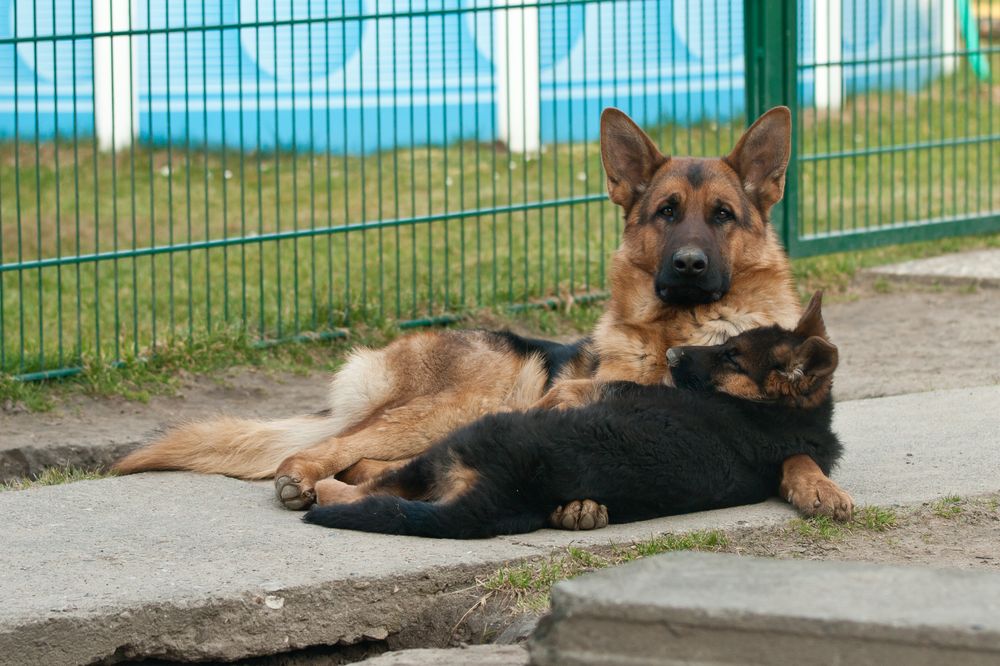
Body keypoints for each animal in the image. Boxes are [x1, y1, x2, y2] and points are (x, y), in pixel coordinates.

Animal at [304, 294, 844, 536]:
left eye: (733, 357)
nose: (672, 358)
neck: (777, 418)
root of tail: (505, 494)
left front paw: (817, 487)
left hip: (475, 424)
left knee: (372, 481)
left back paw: (320, 490)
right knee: (358, 456)